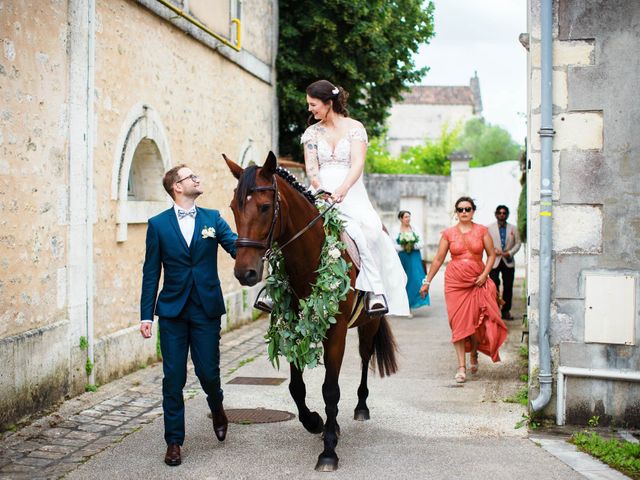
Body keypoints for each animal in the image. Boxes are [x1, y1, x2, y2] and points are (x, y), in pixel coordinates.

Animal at [222, 152, 398, 470]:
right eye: (233, 207)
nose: (245, 273)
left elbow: (330, 389)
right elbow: (297, 386)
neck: (309, 257)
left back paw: (361, 407)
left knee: (364, 358)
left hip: (369, 325)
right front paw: (315, 422)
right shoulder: (293, 326)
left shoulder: (337, 332)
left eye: (265, 207)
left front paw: (328, 451)